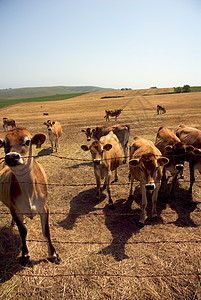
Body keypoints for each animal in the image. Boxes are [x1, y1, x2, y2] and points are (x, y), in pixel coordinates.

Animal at [0, 126, 60, 264]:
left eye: (27, 141)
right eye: (4, 144)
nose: (11, 157)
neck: (28, 192)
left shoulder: (44, 207)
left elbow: (46, 231)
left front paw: (54, 255)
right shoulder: (14, 209)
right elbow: (23, 232)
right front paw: (25, 255)